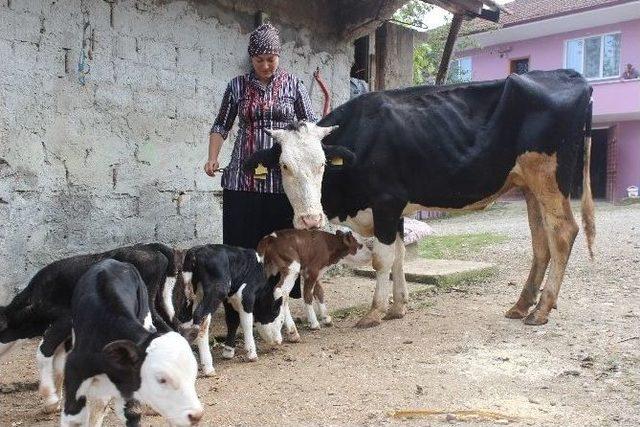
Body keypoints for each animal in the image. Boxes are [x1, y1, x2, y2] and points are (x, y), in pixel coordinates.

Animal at [0, 242, 189, 412]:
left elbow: (44, 351)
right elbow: (60, 363)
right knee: (173, 330)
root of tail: (150, 247)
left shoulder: (64, 320)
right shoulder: (68, 334)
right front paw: (56, 402)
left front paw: (50, 398)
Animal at [61, 260, 202, 426]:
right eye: (161, 379)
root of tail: (111, 262)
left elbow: (132, 412)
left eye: (193, 372)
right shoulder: (74, 372)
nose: (196, 415)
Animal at [179, 244, 282, 374]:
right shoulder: (247, 296)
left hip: (191, 294)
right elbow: (247, 323)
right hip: (217, 291)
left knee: (185, 320)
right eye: (276, 312)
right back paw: (208, 367)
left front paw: (228, 351)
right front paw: (252, 354)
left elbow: (232, 321)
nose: (279, 340)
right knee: (201, 318)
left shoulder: (229, 300)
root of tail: (196, 250)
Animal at [248, 69, 596, 328]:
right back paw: (522, 305)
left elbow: (382, 259)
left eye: (322, 164)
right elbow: (400, 256)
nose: (309, 219)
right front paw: (398, 307)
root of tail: (571, 76)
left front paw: (375, 311)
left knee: (563, 232)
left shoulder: (386, 203)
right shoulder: (396, 210)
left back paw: (542, 309)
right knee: (541, 241)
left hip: (549, 178)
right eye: (284, 166)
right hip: (530, 185)